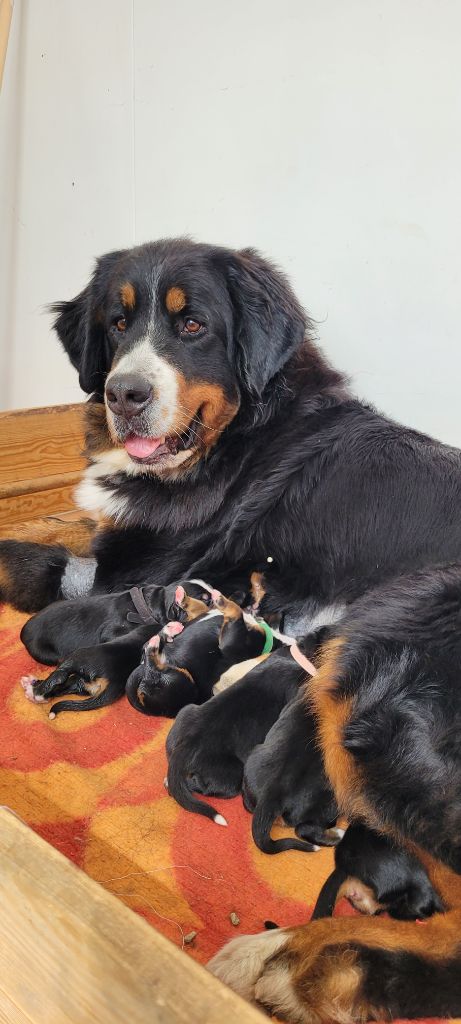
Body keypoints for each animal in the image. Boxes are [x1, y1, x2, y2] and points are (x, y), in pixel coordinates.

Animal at [124, 593, 276, 720]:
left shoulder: (233, 643)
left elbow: (235, 611)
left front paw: (221, 600)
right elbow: (200, 606)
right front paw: (183, 597)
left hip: (181, 681)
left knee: (152, 665)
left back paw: (157, 643)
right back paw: (169, 630)